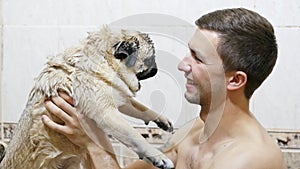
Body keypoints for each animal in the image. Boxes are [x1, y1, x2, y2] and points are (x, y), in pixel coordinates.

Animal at [0, 26, 175, 169]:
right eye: (150, 58)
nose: (156, 69)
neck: (104, 60)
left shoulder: (119, 97)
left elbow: (139, 108)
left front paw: (161, 119)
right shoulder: (108, 114)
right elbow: (136, 136)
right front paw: (158, 156)